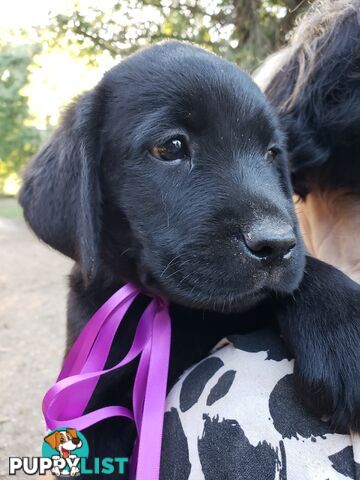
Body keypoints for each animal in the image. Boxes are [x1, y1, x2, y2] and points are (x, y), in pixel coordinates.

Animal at [19, 42, 360, 476]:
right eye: (171, 147)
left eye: (271, 153)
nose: (277, 244)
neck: (164, 309)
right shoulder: (96, 408)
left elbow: (301, 276)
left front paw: (344, 328)